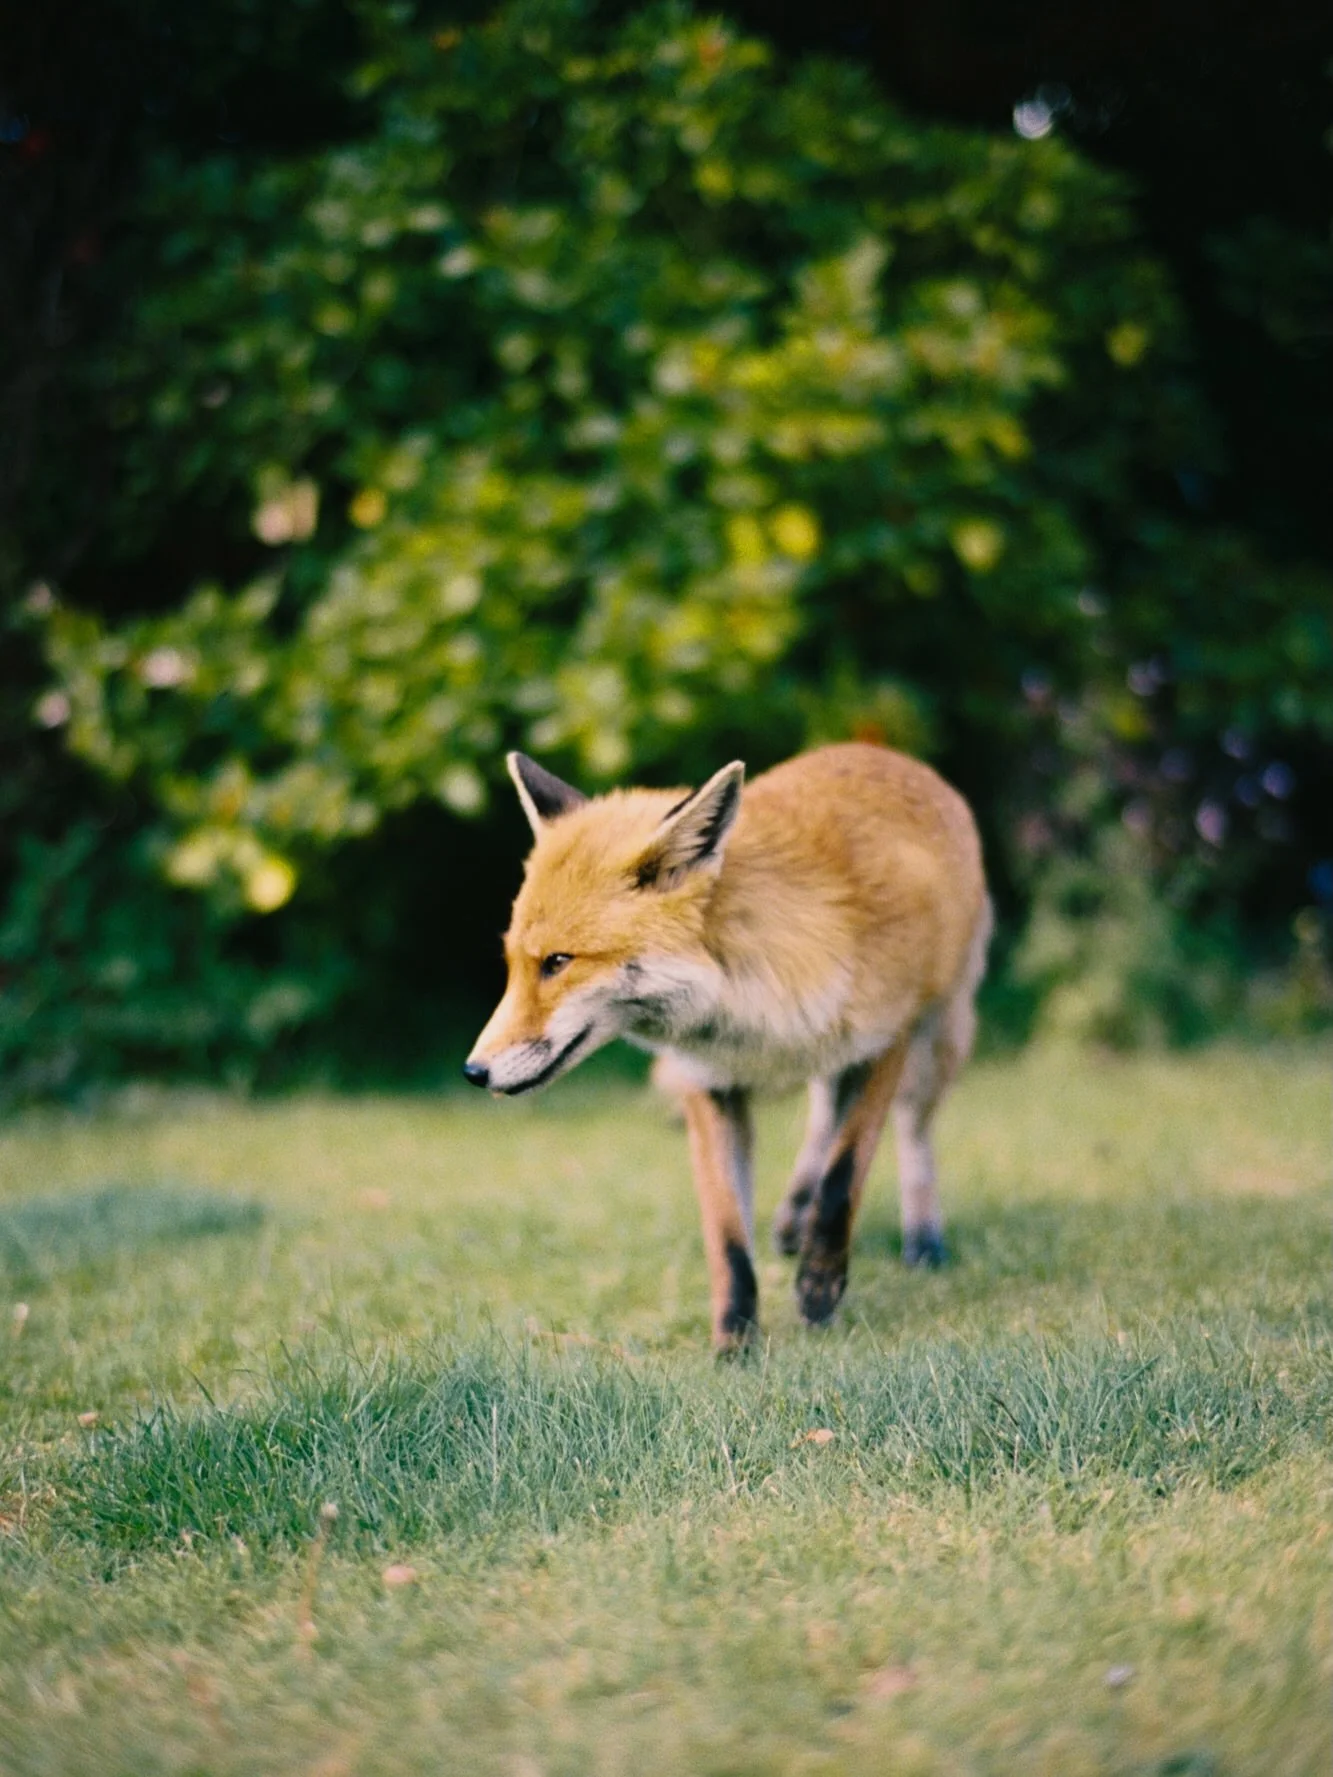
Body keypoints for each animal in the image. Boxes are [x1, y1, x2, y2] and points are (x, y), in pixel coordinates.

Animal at [465, 742, 991, 1352]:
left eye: (557, 962)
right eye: (515, 964)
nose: (473, 1071)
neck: (749, 1001)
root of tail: (878, 750)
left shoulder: (886, 1042)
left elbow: (844, 1176)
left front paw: (819, 1286)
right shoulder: (708, 1082)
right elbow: (727, 1232)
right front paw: (735, 1338)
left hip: (939, 1038)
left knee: (911, 1131)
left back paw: (922, 1237)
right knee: (821, 1116)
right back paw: (793, 1216)